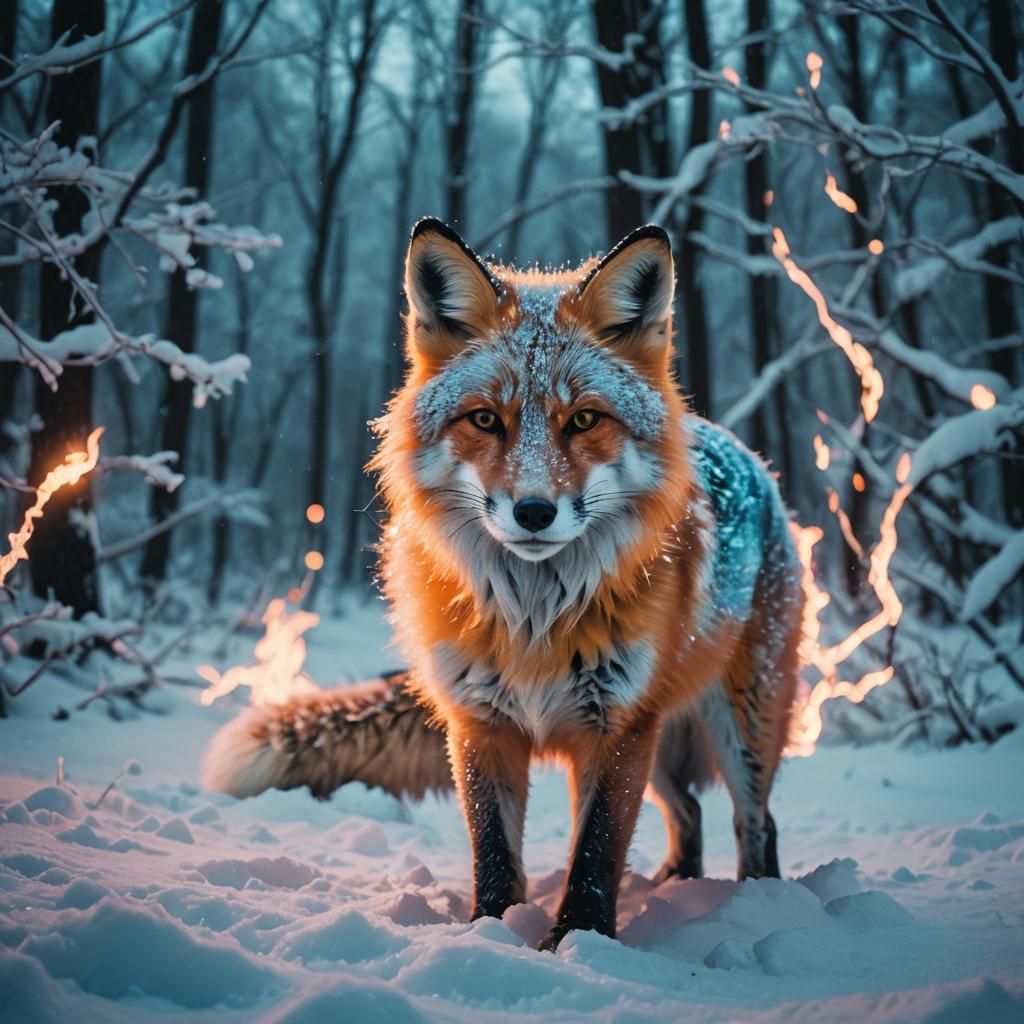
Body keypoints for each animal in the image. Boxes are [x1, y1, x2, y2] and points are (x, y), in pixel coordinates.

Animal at [202, 218, 804, 951]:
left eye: (584, 419)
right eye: (486, 419)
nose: (534, 512)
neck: (534, 618)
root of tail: (752, 459)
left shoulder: (618, 726)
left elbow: (597, 850)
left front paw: (580, 939)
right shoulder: (480, 721)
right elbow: (493, 850)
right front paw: (492, 931)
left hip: (737, 722)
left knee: (756, 822)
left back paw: (758, 905)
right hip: (664, 738)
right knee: (687, 811)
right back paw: (673, 887)